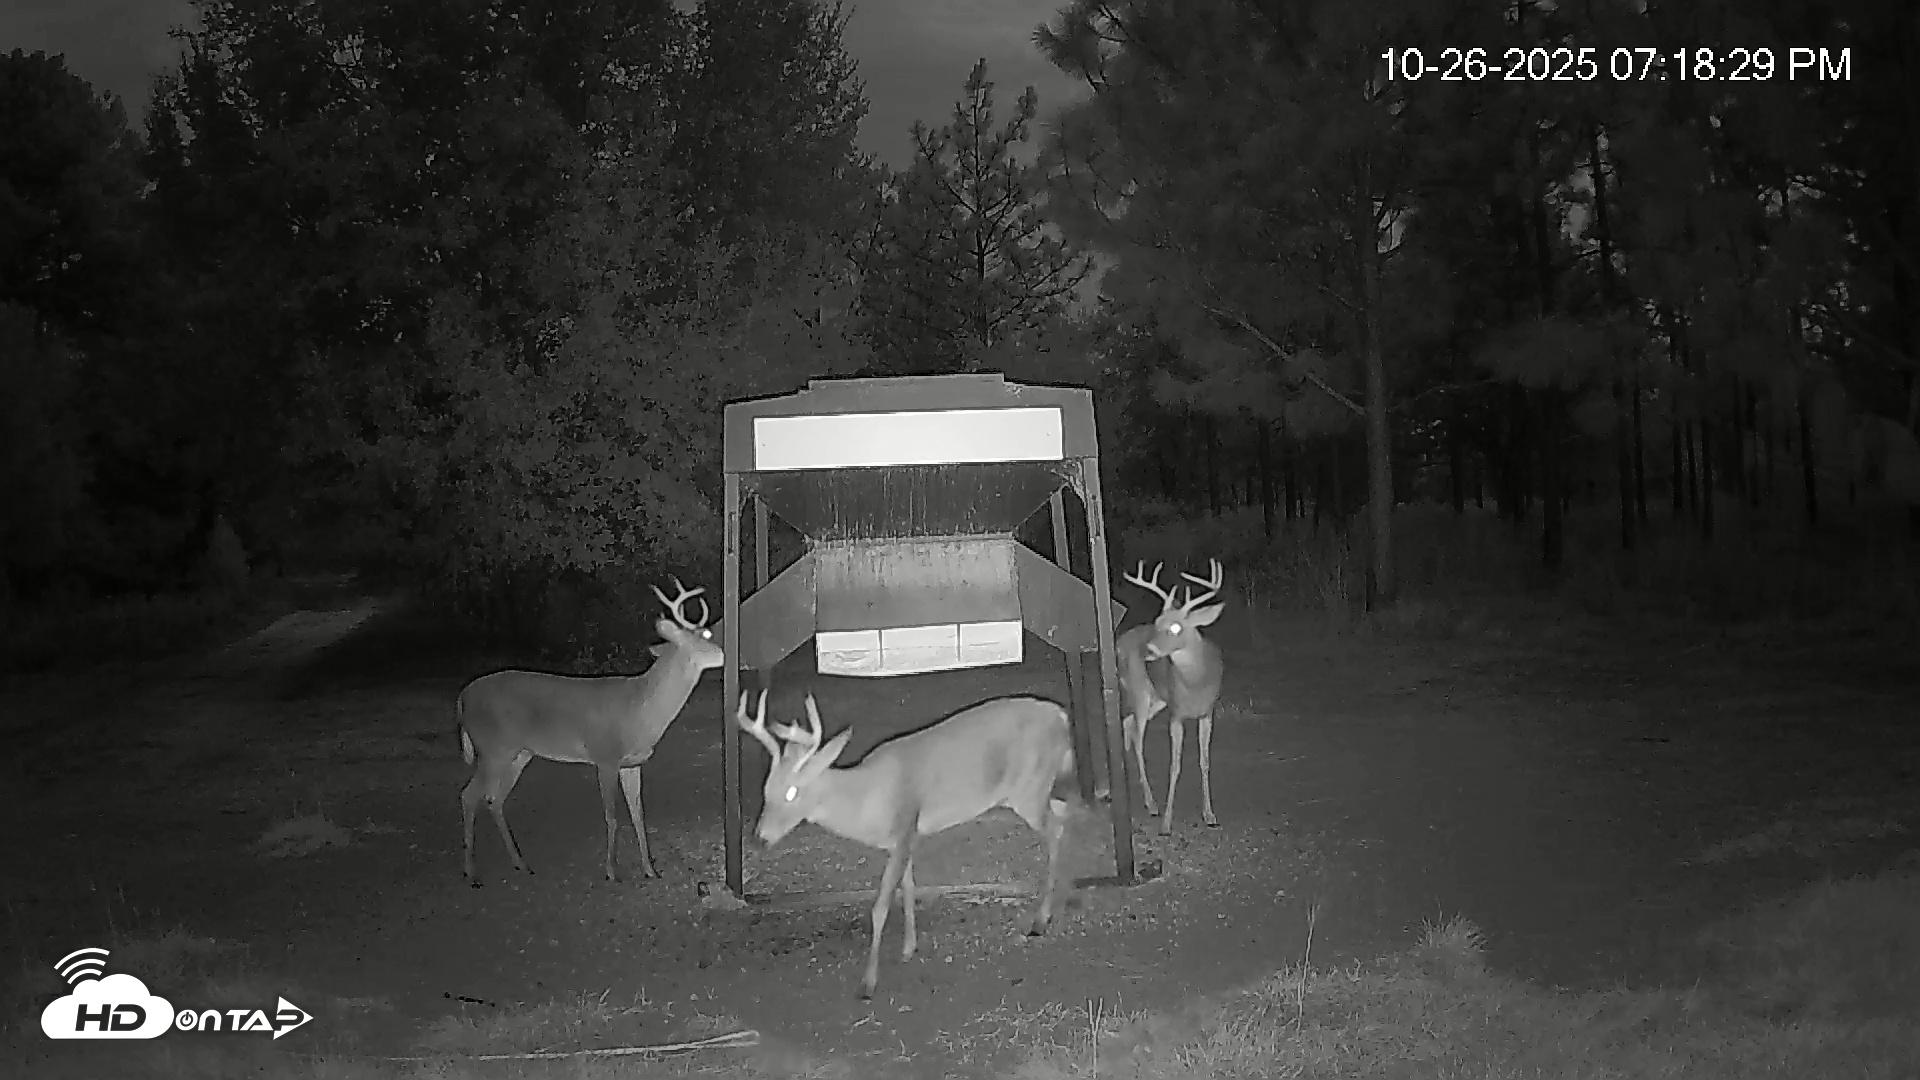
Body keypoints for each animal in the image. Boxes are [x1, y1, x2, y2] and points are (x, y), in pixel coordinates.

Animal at [457, 578, 724, 886]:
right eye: (703, 636)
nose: (723, 653)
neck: (640, 710)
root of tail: (462, 697)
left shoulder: (633, 763)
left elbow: (638, 815)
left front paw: (650, 869)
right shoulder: (605, 757)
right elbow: (612, 816)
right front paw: (612, 871)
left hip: (519, 753)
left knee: (494, 799)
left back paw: (521, 864)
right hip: (492, 747)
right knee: (469, 795)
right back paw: (472, 872)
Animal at [735, 689, 1078, 999]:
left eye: (792, 792)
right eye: (766, 789)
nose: (760, 837)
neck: (867, 797)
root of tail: (1060, 715)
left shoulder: (902, 829)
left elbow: (880, 907)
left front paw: (868, 984)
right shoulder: (908, 834)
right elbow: (909, 888)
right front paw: (909, 947)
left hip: (1029, 789)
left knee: (1056, 828)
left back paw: (1040, 919)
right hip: (1037, 790)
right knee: (1064, 816)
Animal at [1114, 558, 1226, 834]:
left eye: (1175, 627)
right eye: (1157, 622)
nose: (1149, 650)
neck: (1195, 682)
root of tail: (1119, 642)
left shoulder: (1207, 712)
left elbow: (1204, 761)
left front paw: (1210, 815)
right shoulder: (1176, 713)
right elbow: (1175, 766)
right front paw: (1166, 822)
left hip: (1156, 699)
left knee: (1127, 723)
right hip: (1140, 691)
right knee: (1137, 737)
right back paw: (1152, 804)